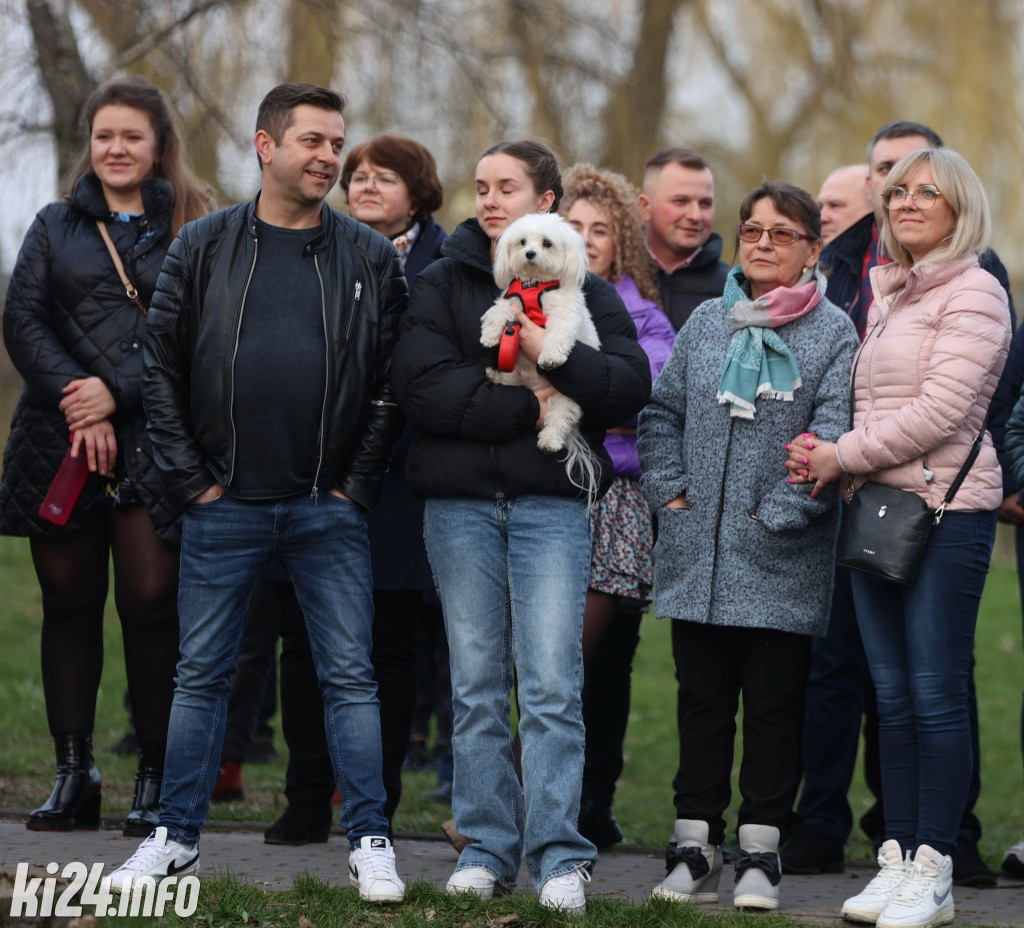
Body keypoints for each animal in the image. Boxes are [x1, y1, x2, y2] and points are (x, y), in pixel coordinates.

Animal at [479, 212, 598, 499]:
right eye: (523, 242)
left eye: (546, 243)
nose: (530, 253)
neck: (534, 285)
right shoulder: (512, 301)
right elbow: (498, 311)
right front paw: (489, 334)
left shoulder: (563, 313)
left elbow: (558, 335)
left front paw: (550, 358)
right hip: (515, 376)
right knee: (509, 382)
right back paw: (495, 376)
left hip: (568, 398)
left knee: (560, 419)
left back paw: (549, 441)